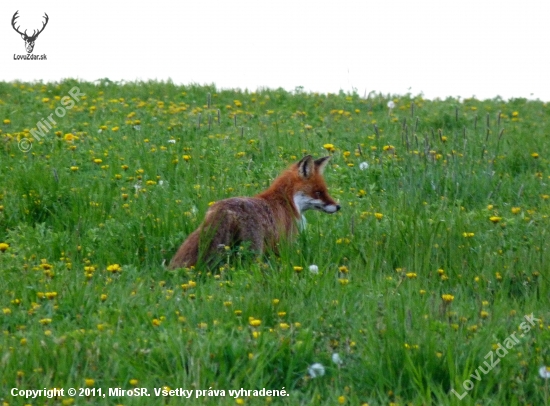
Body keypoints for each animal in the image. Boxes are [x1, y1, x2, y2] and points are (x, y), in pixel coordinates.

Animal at [169, 155, 340, 270]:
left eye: (324, 191)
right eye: (318, 192)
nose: (338, 206)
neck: (287, 201)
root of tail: (224, 210)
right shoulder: (283, 244)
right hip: (253, 251)